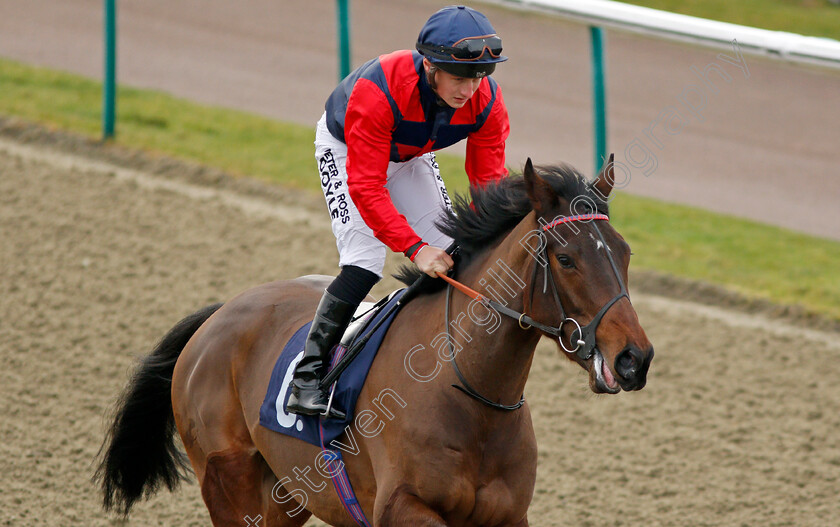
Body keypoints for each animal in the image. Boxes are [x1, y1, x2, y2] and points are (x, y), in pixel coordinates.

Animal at [95, 159, 652, 524]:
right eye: (567, 259)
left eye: (625, 253)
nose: (634, 358)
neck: (470, 393)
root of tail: (219, 315)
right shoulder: (404, 508)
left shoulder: (508, 517)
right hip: (226, 479)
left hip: (286, 492)